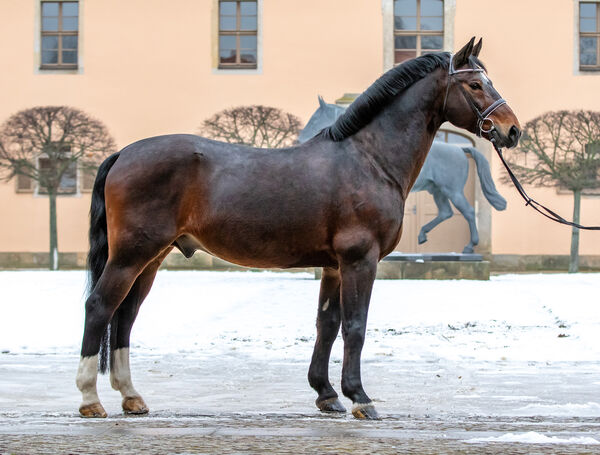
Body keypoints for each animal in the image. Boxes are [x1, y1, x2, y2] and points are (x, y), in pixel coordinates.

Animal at [300, 99, 506, 253]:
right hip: (437, 191)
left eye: (315, 118)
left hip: (451, 191)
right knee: (445, 212)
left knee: (468, 211)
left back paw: (469, 247)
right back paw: (422, 235)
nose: (300, 139)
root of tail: (461, 149)